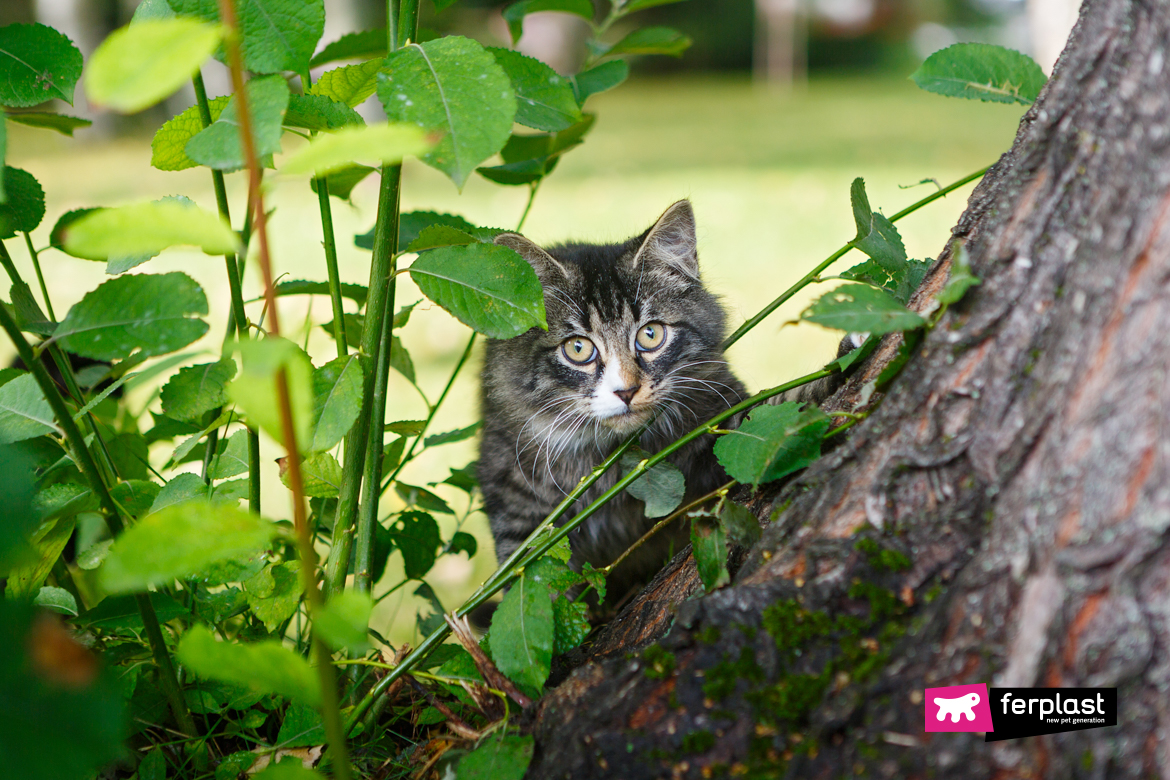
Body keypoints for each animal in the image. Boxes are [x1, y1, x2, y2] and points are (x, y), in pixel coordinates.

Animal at [477, 198, 744, 603]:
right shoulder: (514, 496)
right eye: (578, 349)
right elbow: (535, 583)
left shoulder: (722, 409)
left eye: (650, 335)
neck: (610, 458)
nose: (626, 391)